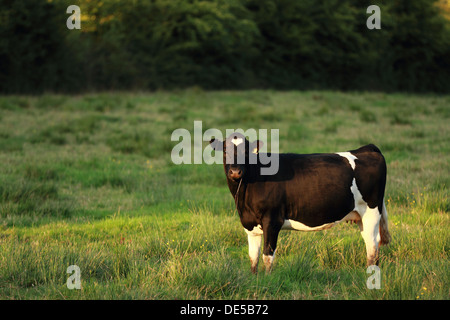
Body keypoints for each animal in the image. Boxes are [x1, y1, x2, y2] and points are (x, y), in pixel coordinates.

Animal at [210, 132, 390, 272]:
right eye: (225, 150)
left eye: (247, 151)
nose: (235, 171)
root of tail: (367, 148)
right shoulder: (250, 225)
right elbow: (253, 258)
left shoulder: (272, 220)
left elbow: (267, 257)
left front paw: (267, 281)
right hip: (360, 217)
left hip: (372, 212)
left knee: (373, 248)